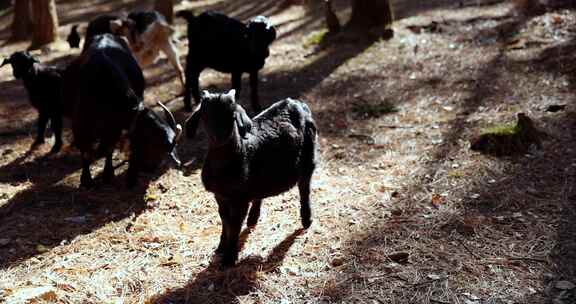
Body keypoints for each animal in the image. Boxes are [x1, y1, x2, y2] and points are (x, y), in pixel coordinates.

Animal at [62, 33, 182, 188]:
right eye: (156, 146)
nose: (149, 168)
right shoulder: (80, 126)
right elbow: (85, 152)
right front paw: (86, 180)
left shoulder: (114, 127)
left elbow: (109, 149)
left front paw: (108, 175)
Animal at [186, 89, 318, 266]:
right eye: (205, 115)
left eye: (232, 116)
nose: (221, 136)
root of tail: (296, 103)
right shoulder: (220, 196)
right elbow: (224, 220)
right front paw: (221, 247)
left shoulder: (239, 199)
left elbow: (234, 224)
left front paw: (229, 258)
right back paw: (253, 218)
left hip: (307, 159)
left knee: (305, 189)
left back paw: (306, 220)